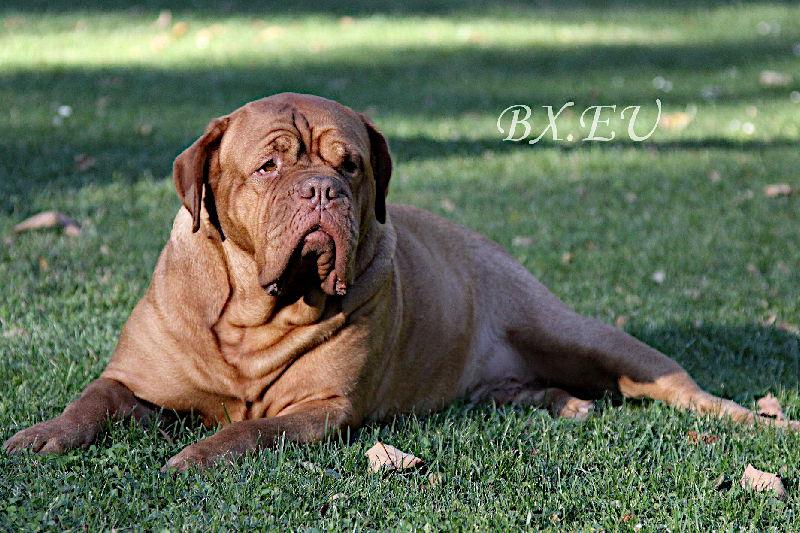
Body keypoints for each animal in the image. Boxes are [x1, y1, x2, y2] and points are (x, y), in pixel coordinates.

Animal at [4, 93, 792, 468]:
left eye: (348, 164)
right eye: (269, 165)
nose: (321, 190)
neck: (254, 314)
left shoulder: (323, 409)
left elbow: (253, 431)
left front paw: (199, 453)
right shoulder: (135, 379)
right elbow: (91, 400)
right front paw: (41, 435)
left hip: (582, 334)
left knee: (680, 386)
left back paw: (758, 418)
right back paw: (560, 403)